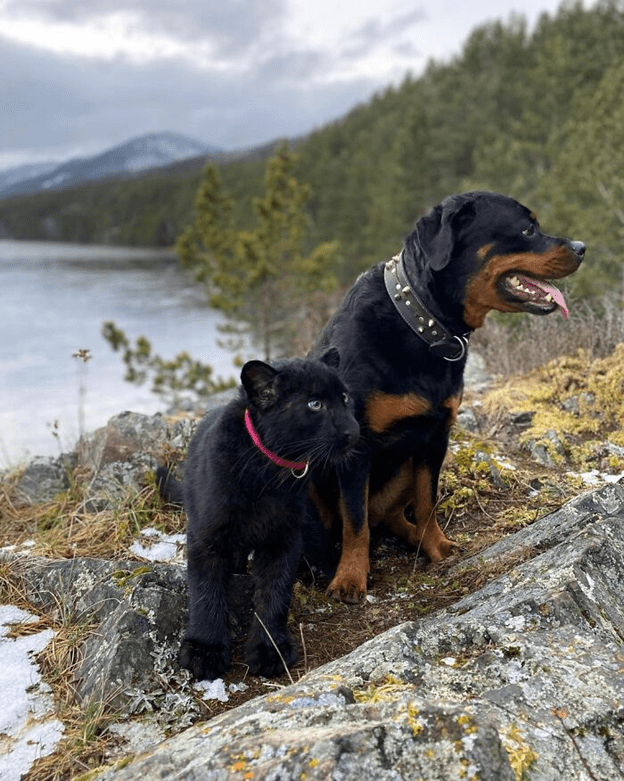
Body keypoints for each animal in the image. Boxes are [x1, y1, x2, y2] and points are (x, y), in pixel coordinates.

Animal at [310, 190, 588, 604]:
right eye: (527, 229)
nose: (582, 247)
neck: (422, 322)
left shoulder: (435, 437)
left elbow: (428, 502)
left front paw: (436, 547)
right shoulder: (355, 446)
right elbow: (355, 522)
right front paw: (350, 577)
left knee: (388, 517)